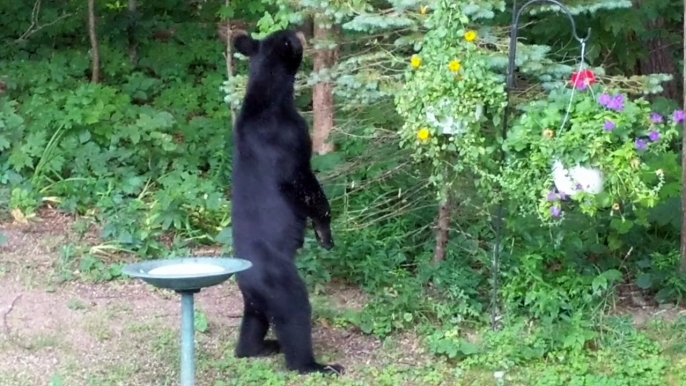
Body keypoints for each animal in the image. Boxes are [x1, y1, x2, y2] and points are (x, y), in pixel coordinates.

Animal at [231, 27, 346, 376]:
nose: (299, 30)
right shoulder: (293, 138)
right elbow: (308, 187)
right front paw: (324, 232)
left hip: (253, 299)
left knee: (253, 321)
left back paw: (257, 347)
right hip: (280, 281)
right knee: (295, 313)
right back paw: (316, 364)